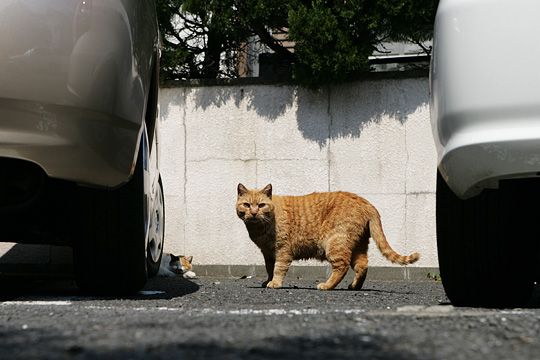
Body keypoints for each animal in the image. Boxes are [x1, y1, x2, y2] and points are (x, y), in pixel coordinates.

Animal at [237, 184, 422, 292]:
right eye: (246, 205)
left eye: (261, 205)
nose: (253, 213)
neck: (260, 228)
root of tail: (366, 202)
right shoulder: (268, 253)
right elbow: (269, 268)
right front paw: (268, 280)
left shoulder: (282, 251)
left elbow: (278, 269)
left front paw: (275, 283)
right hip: (358, 245)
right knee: (362, 265)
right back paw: (354, 286)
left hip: (335, 244)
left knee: (342, 266)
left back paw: (327, 285)